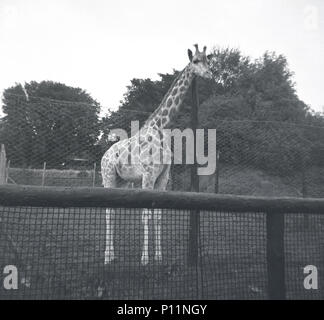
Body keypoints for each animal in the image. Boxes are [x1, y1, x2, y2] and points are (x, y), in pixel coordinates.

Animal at [101, 44, 213, 264]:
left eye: (208, 60)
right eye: (195, 61)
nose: (209, 74)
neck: (160, 128)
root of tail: (103, 156)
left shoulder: (163, 176)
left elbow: (159, 216)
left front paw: (159, 257)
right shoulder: (148, 174)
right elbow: (146, 215)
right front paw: (145, 259)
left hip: (122, 181)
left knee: (113, 210)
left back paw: (114, 255)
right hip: (108, 176)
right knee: (108, 212)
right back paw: (107, 257)